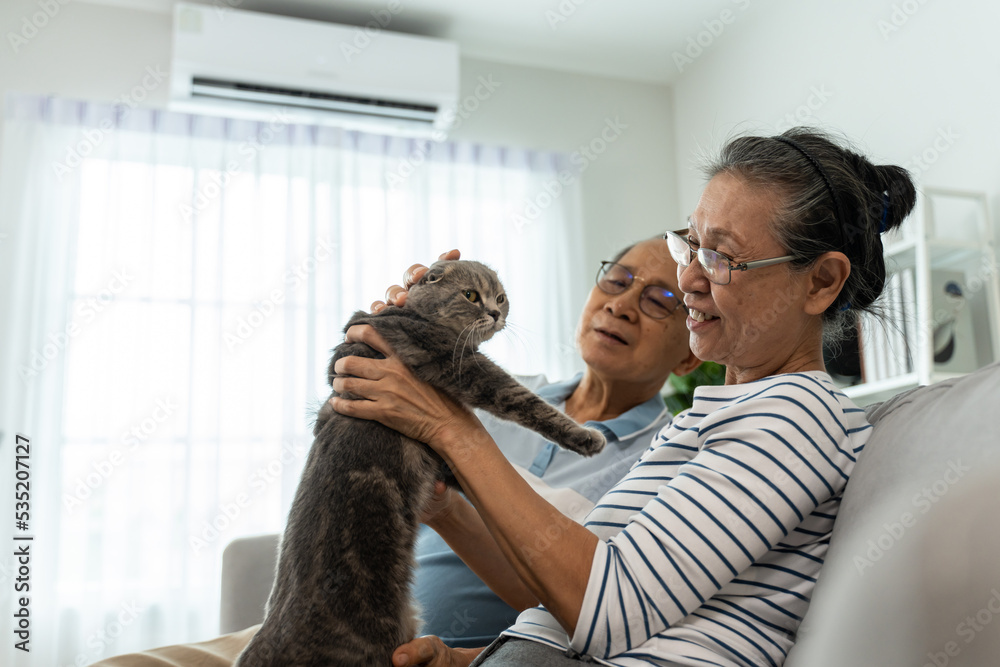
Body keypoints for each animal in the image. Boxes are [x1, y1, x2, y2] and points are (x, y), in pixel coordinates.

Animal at [238, 260, 604, 667]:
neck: (412, 315)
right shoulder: (460, 363)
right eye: (471, 295)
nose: (495, 313)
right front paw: (586, 437)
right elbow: (524, 399)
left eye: (500, 297)